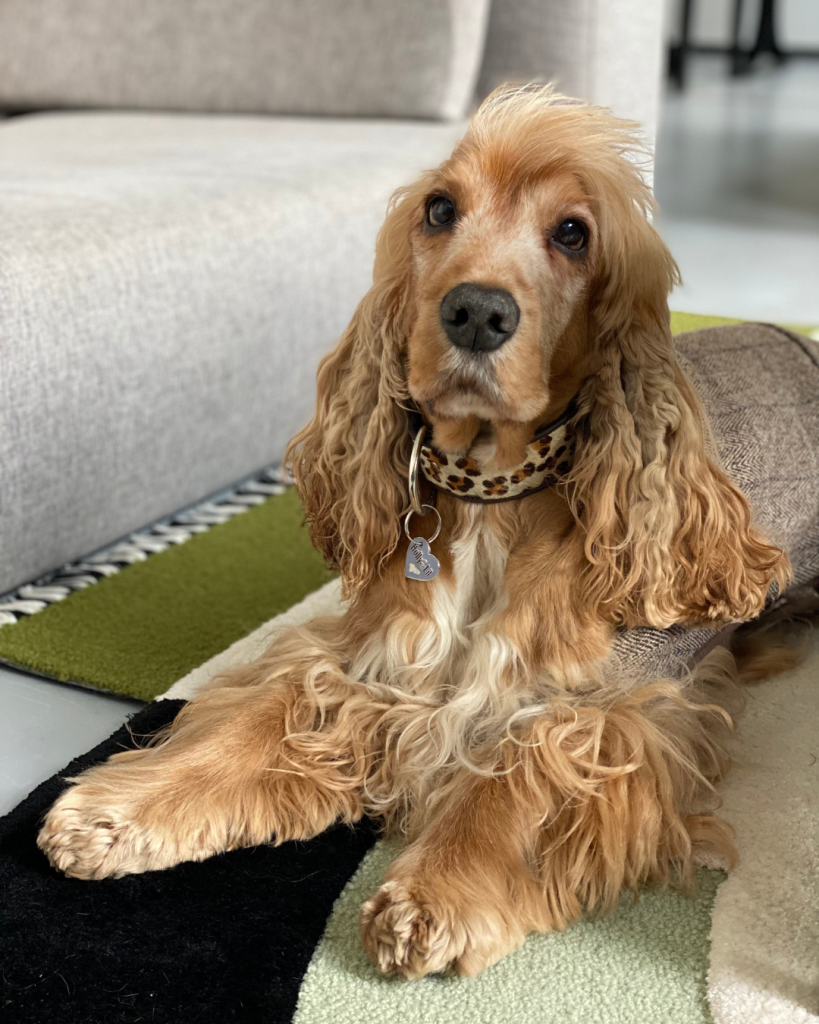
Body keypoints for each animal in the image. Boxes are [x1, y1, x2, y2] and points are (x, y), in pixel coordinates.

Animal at [36, 88, 794, 983]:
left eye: (573, 232)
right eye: (440, 209)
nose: (475, 311)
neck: (490, 496)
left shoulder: (621, 706)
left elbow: (525, 766)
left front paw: (437, 890)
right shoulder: (367, 656)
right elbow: (262, 713)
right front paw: (122, 808)